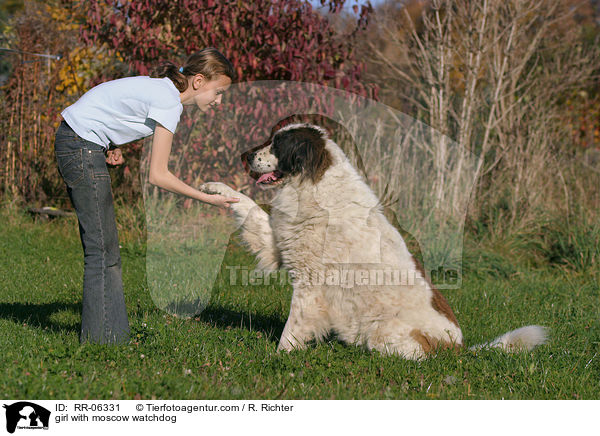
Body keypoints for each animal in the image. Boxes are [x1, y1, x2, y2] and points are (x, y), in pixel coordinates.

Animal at [199, 122, 548, 358]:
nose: (244, 155)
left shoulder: (310, 286)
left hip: (386, 329)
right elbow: (248, 207)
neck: (313, 184)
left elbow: (292, 328)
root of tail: (459, 347)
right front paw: (216, 188)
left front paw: (279, 356)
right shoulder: (277, 245)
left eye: (277, 144)